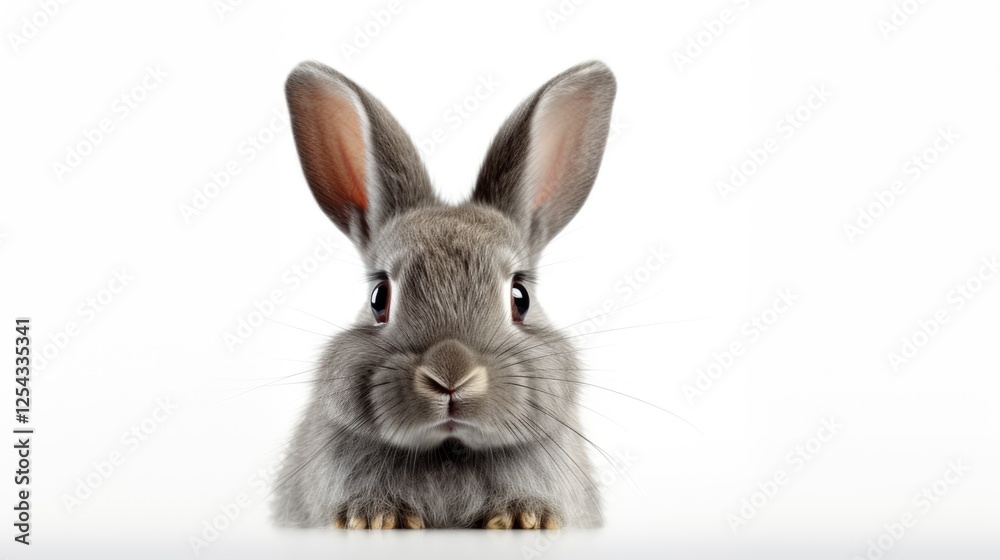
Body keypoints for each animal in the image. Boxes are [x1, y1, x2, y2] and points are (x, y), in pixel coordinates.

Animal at [271, 59, 617, 530]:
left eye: (520, 297)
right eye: (379, 298)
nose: (450, 374)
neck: (449, 450)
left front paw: (522, 517)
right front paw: (377, 517)